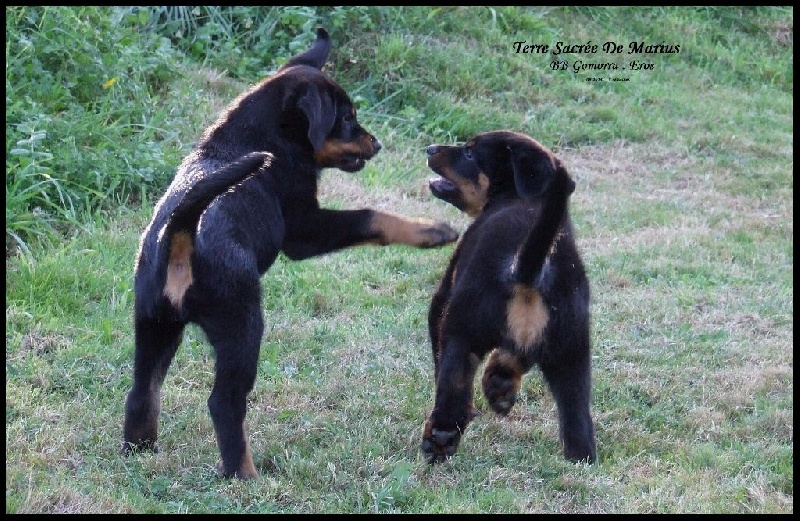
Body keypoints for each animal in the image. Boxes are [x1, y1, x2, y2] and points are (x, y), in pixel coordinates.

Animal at [119, 26, 456, 478]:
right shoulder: (305, 229)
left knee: (142, 390)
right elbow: (370, 216)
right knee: (224, 402)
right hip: (242, 327)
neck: (263, 136)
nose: (377, 142)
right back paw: (245, 475)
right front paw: (432, 230)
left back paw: (140, 450)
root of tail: (180, 232)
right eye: (346, 119)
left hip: (154, 323)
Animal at [422, 130, 596, 464]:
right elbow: (513, 357)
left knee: (453, 391)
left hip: (462, 330)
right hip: (572, 350)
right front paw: (500, 386)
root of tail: (528, 271)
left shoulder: (442, 301)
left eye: (469, 153)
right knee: (578, 421)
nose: (430, 148)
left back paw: (439, 440)